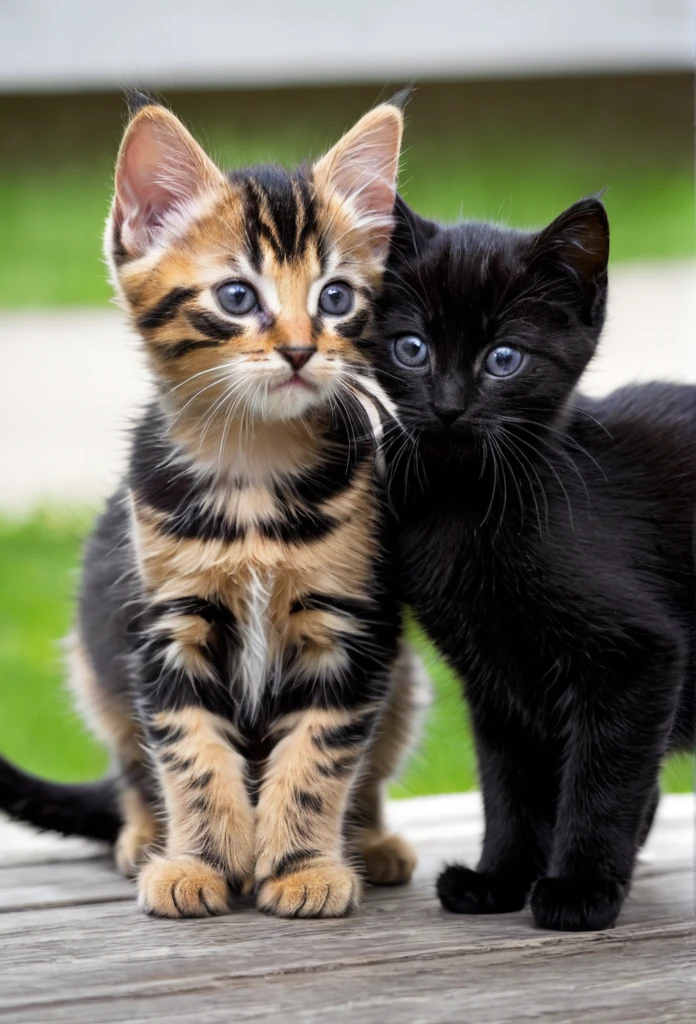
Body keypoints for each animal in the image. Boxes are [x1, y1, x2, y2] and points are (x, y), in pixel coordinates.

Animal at [0, 97, 423, 921]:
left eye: (335, 297)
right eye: (238, 297)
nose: (299, 350)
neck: (254, 475)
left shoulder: (350, 629)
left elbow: (319, 754)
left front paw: (301, 866)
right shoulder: (166, 626)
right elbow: (190, 753)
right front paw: (199, 862)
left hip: (406, 678)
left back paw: (370, 840)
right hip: (95, 662)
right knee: (132, 768)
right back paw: (143, 836)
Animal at [366, 195, 691, 933]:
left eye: (504, 358)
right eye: (412, 348)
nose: (448, 407)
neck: (464, 504)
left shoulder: (638, 659)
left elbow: (602, 779)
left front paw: (580, 889)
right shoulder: (494, 678)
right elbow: (509, 784)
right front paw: (500, 878)